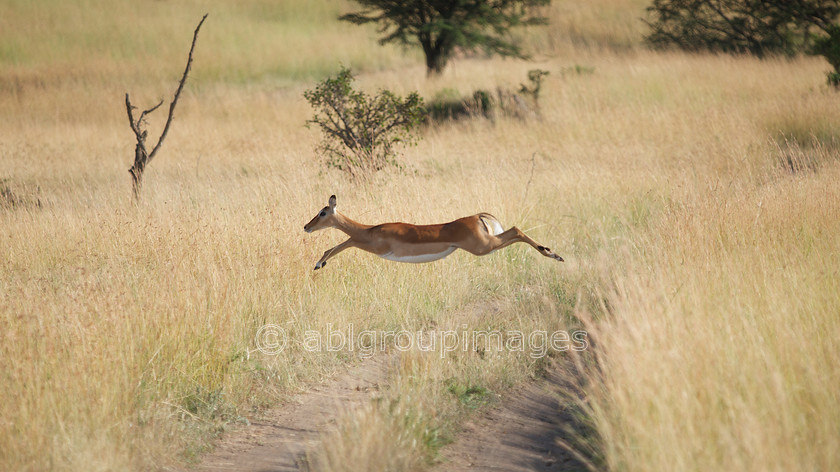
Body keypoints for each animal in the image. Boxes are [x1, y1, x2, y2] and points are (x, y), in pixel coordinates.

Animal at [302, 195, 564, 270]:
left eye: (322, 212)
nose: (306, 226)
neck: (371, 230)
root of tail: (477, 217)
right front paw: (319, 264)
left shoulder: (373, 246)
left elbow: (344, 242)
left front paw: (318, 264)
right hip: (487, 244)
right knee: (514, 230)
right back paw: (554, 253)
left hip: (484, 247)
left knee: (517, 230)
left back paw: (554, 254)